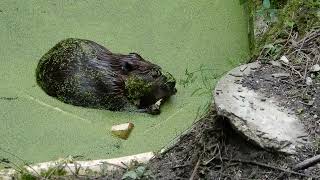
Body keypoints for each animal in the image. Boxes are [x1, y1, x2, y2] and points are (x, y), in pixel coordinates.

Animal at [36, 38, 176, 114]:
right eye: (155, 74)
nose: (173, 82)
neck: (112, 69)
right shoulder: (107, 86)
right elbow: (124, 107)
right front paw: (152, 108)